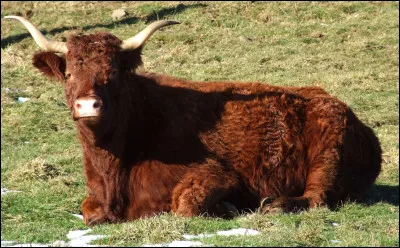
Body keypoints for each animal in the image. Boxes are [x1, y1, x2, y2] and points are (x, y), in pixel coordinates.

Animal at [5, 14, 382, 226]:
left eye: (112, 73)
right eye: (69, 73)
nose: (88, 105)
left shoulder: (216, 174)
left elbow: (185, 204)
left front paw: (228, 208)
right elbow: (88, 212)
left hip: (327, 154)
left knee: (317, 196)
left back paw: (275, 206)